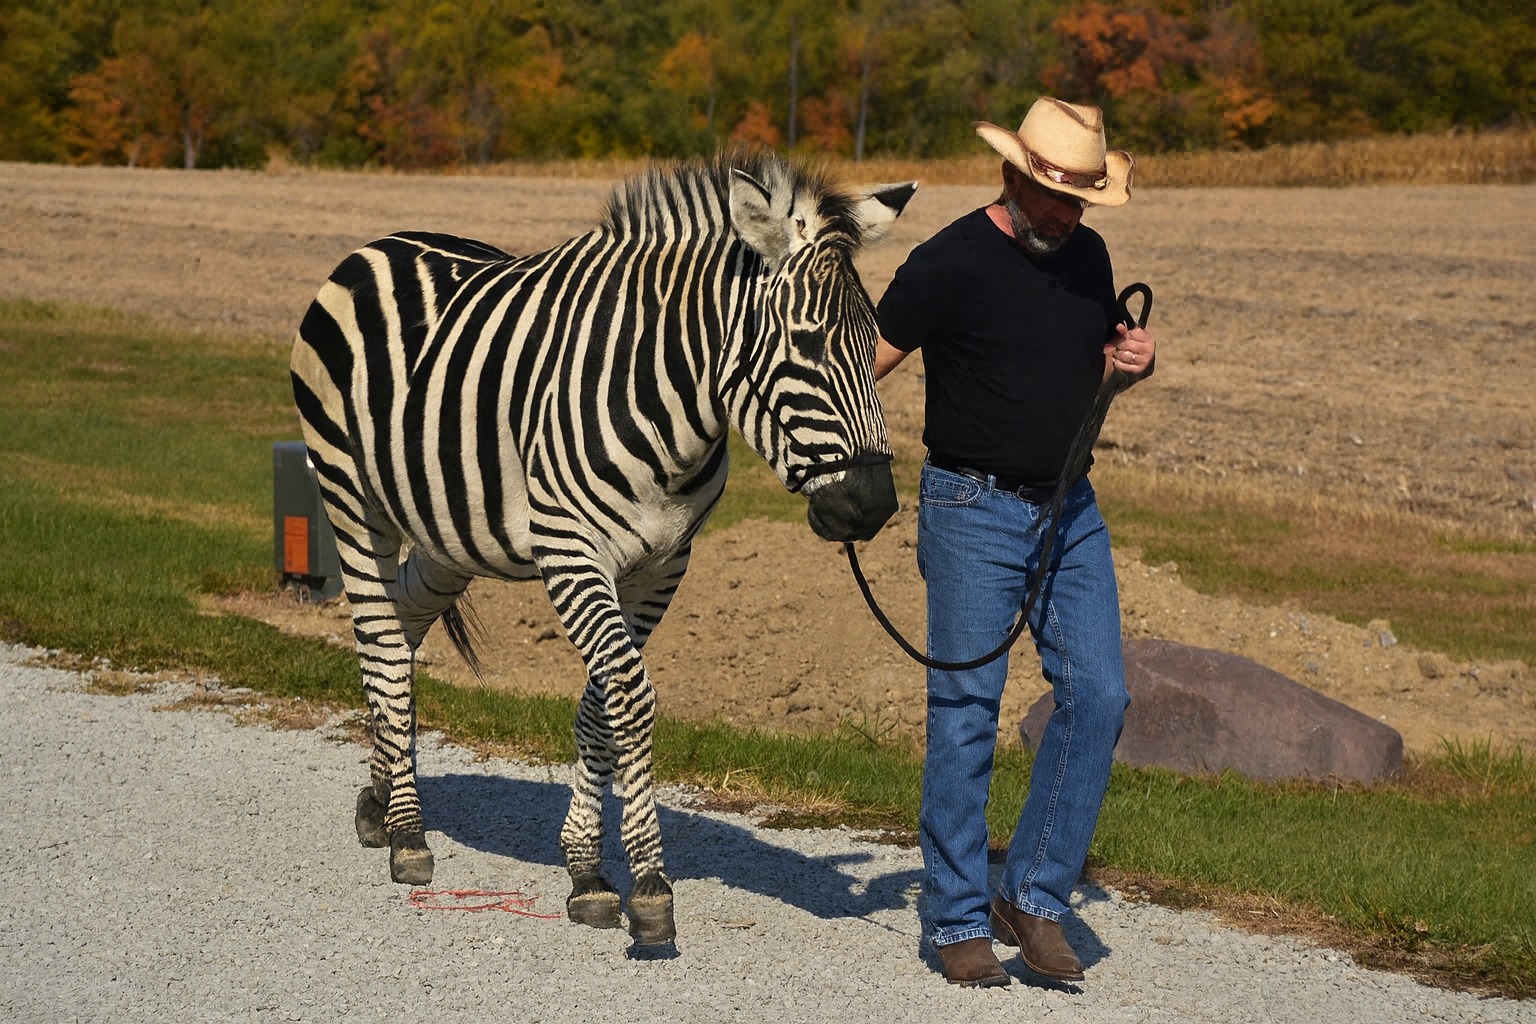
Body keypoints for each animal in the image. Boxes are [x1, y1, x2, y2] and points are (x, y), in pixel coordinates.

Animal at [289, 149, 915, 946]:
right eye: (805, 344)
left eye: (878, 345)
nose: (872, 506)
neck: (671, 403)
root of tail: (385, 241)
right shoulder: (570, 549)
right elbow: (630, 698)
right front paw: (648, 884)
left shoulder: (662, 565)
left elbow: (600, 705)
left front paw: (586, 868)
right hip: (350, 496)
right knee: (382, 645)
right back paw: (407, 833)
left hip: (447, 536)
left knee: (403, 625)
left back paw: (380, 799)